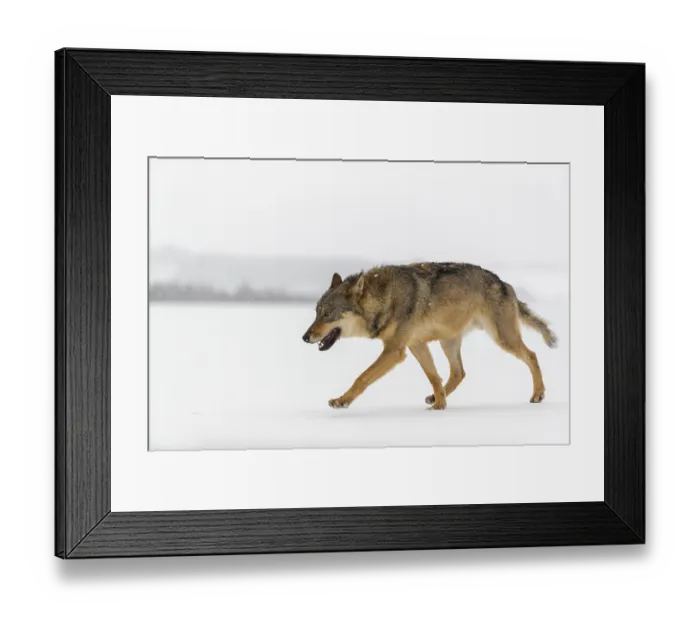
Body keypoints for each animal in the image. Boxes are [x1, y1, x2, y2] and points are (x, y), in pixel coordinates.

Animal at [302, 263, 558, 410]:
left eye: (327, 314)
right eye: (316, 312)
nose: (304, 337)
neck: (384, 299)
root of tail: (504, 283)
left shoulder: (394, 351)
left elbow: (362, 377)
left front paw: (342, 400)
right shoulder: (416, 346)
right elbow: (433, 377)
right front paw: (439, 404)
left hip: (502, 338)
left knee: (532, 355)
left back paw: (538, 394)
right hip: (448, 342)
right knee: (458, 373)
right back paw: (435, 398)